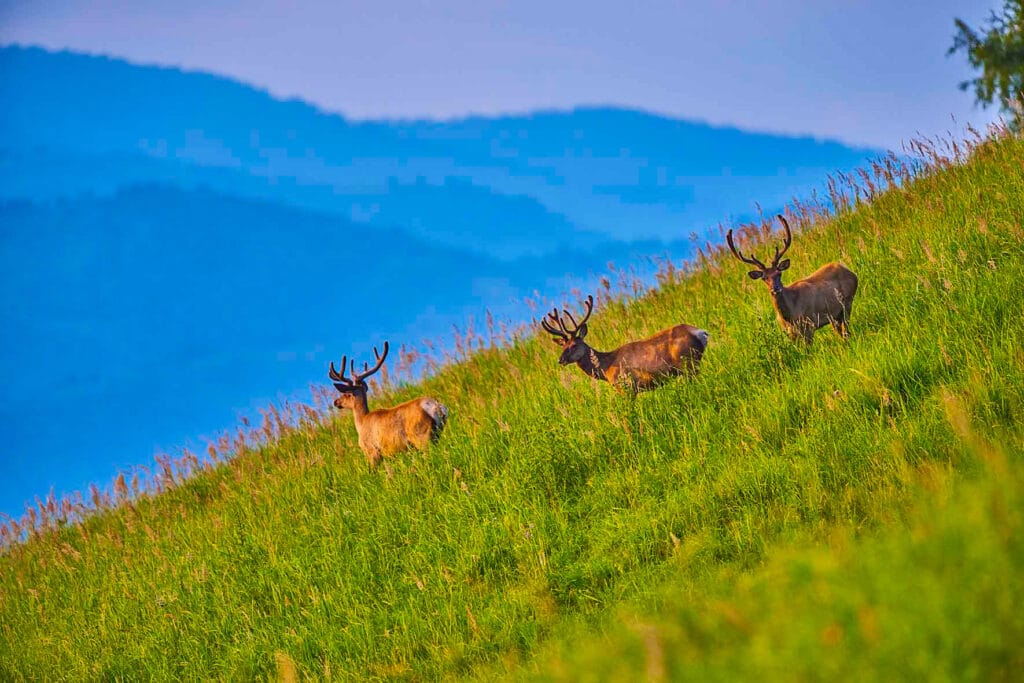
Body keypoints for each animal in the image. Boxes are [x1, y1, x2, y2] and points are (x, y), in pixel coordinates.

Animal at [327, 342, 448, 471]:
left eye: (347, 394)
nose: (336, 402)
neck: (361, 423)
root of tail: (436, 406)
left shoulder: (372, 451)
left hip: (422, 436)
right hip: (437, 432)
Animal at [540, 294, 708, 395]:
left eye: (574, 345)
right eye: (563, 346)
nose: (560, 360)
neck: (606, 367)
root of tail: (701, 332)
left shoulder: (626, 387)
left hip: (688, 363)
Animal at [724, 214, 860, 342]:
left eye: (779, 273)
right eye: (764, 278)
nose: (775, 289)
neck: (790, 316)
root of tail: (850, 271)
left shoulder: (809, 324)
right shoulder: (790, 334)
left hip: (847, 303)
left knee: (846, 330)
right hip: (835, 315)